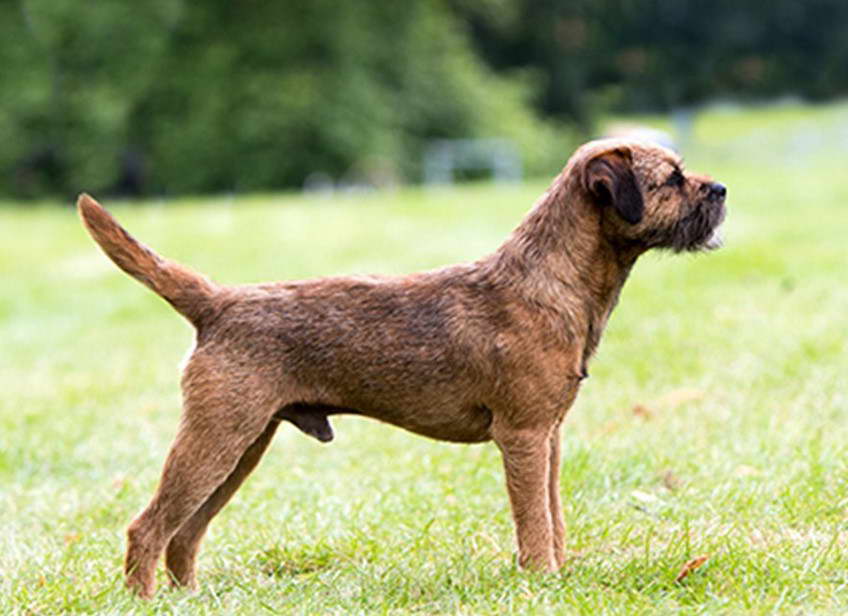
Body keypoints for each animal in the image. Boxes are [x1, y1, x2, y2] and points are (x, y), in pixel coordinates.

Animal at [79, 138, 724, 596]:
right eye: (672, 179)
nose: (720, 189)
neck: (549, 280)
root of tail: (217, 302)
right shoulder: (522, 437)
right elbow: (534, 520)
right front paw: (542, 580)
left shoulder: (550, 438)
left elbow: (554, 514)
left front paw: (559, 576)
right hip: (217, 436)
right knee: (148, 527)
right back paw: (145, 600)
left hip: (242, 445)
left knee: (184, 533)